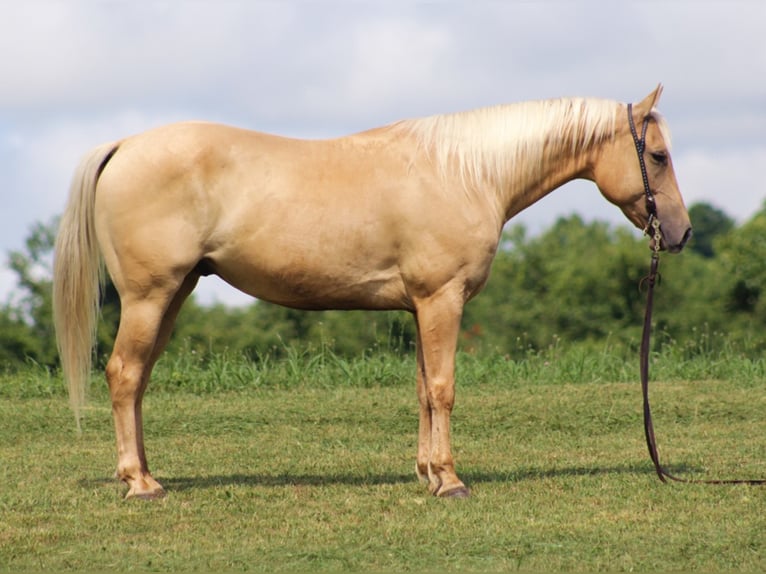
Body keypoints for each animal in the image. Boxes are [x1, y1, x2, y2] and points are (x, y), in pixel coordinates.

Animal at [51, 84, 692, 500]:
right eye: (658, 156)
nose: (682, 232)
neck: (465, 173)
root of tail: (124, 145)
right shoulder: (442, 299)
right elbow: (444, 388)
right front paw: (451, 481)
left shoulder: (421, 306)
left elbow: (423, 391)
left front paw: (429, 473)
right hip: (150, 296)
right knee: (123, 374)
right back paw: (139, 484)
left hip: (173, 294)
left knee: (137, 380)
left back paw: (145, 473)